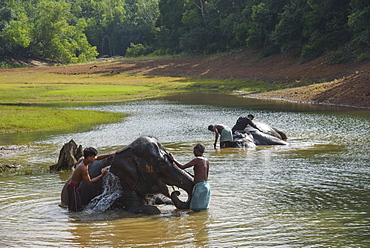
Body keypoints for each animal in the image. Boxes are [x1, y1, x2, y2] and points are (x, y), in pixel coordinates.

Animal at [60, 136, 194, 215]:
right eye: (159, 165)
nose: (177, 192)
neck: (129, 150)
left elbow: (161, 200)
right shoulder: (123, 182)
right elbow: (149, 209)